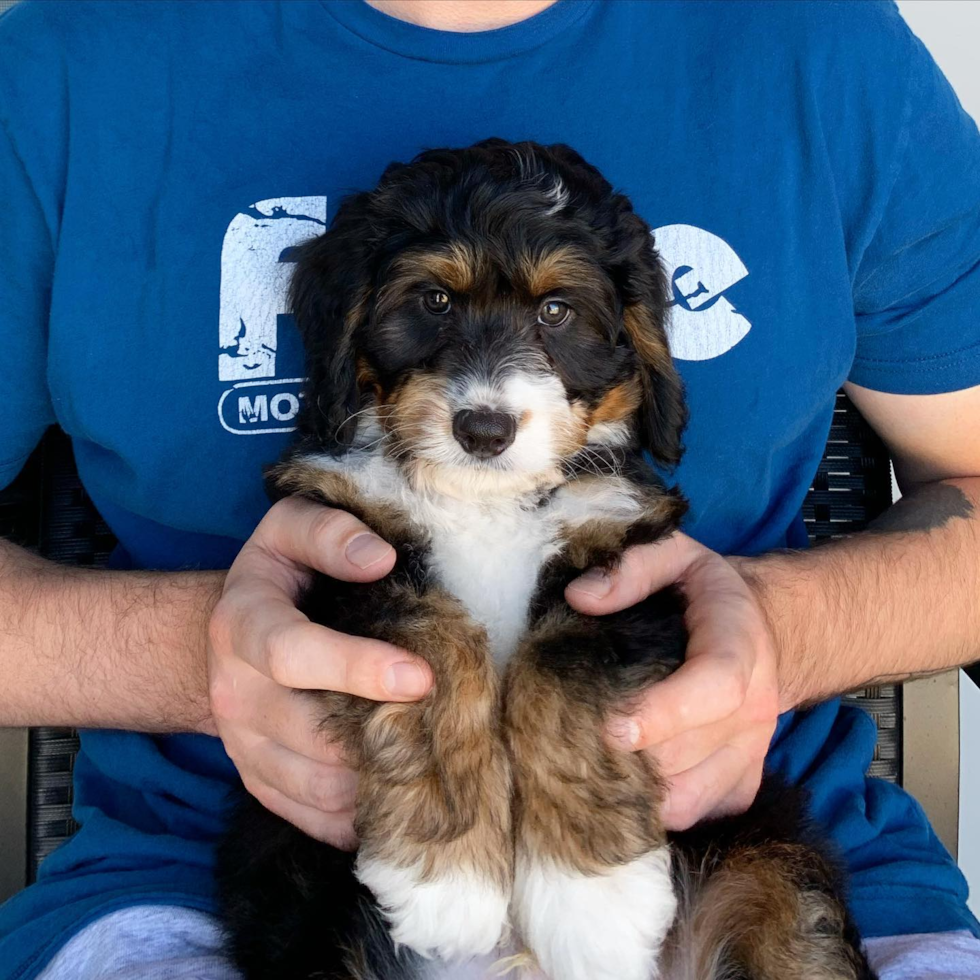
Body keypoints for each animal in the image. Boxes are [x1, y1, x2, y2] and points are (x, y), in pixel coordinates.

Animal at [214, 138, 872, 980]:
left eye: (555, 311)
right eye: (435, 301)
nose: (484, 428)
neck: (485, 499)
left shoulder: (624, 567)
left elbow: (557, 666)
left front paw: (593, 904)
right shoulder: (351, 554)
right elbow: (436, 642)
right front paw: (449, 884)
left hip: (773, 857)